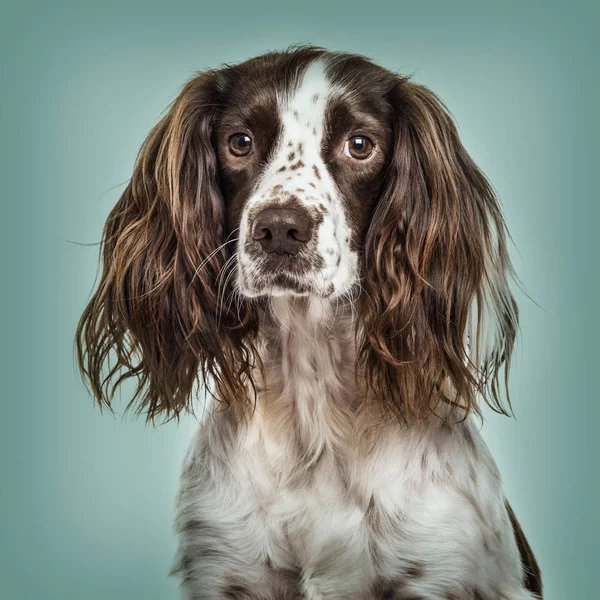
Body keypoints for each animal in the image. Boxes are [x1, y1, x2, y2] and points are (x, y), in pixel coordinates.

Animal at [76, 44, 544, 596]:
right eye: (240, 142)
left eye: (360, 145)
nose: (279, 229)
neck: (315, 413)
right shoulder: (225, 566)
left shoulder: (442, 568)